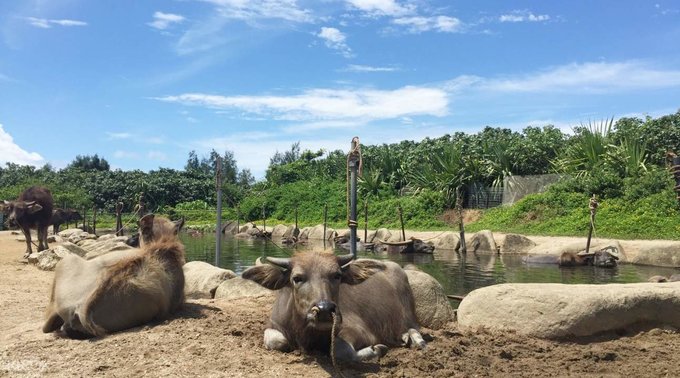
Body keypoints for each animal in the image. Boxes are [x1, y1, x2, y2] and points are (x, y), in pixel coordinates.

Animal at [243, 252, 424, 362]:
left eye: (337, 275)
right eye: (297, 278)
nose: (324, 309)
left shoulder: (361, 331)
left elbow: (338, 348)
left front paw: (377, 350)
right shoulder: (274, 324)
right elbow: (276, 340)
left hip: (409, 314)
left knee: (413, 327)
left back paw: (416, 339)